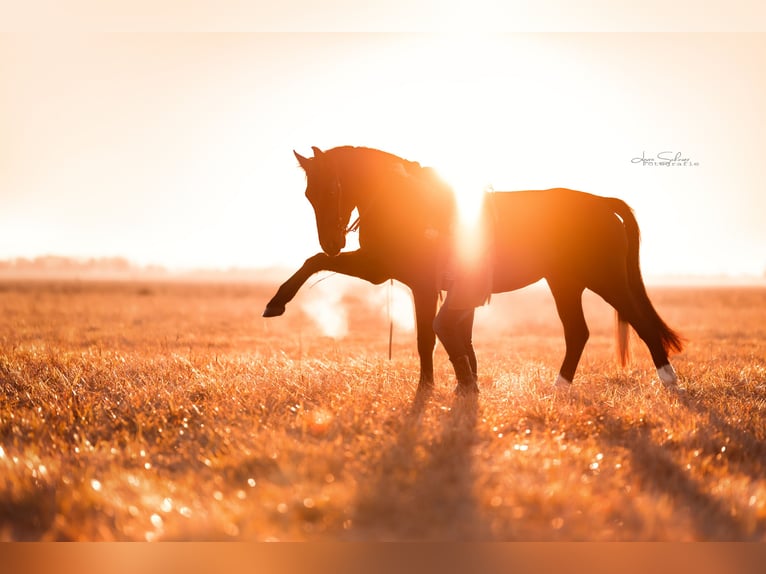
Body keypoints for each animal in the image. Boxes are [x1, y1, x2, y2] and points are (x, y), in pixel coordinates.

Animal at [262, 146, 684, 394]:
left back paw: (669, 382)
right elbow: (315, 262)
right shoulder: (385, 270)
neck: (407, 202)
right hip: (565, 283)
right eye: (308, 193)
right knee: (578, 333)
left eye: (332, 188)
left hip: (604, 280)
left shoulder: (416, 283)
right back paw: (559, 389)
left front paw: (427, 388)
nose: (332, 241)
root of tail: (603, 203)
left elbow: (426, 338)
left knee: (640, 323)